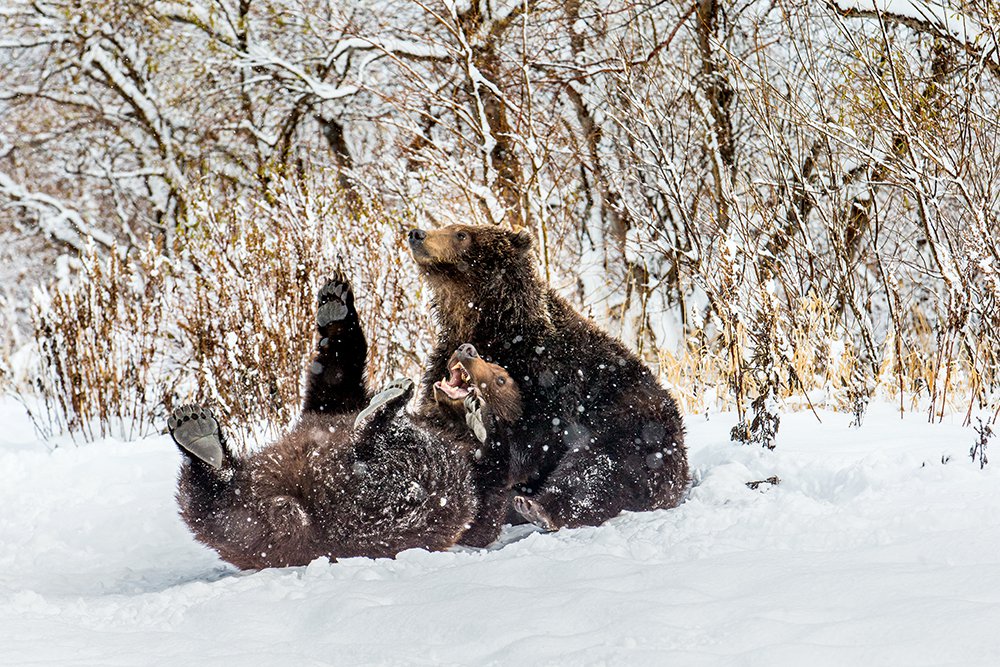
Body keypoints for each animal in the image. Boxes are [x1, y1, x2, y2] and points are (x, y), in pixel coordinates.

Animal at [406, 224, 688, 532]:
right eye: (447, 227)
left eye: (461, 234)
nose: (417, 234)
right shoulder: (443, 361)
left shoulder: (548, 375)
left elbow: (532, 436)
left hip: (634, 427)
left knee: (599, 467)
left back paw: (539, 508)